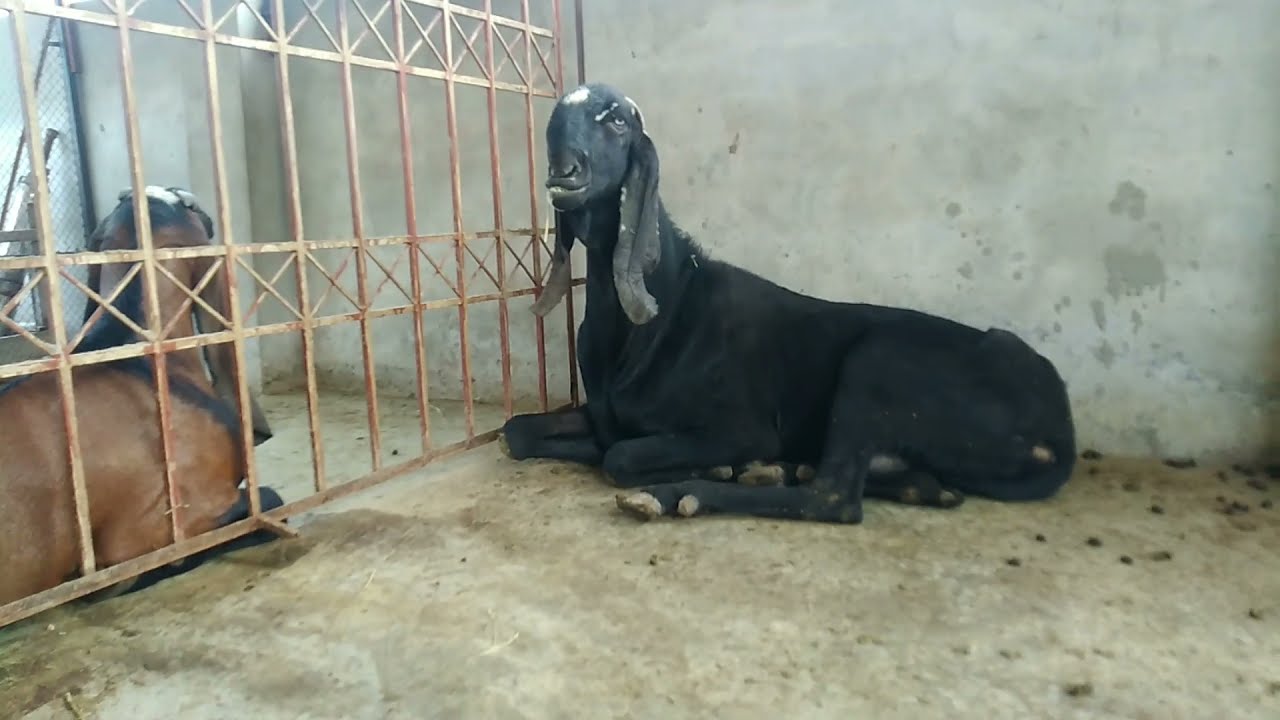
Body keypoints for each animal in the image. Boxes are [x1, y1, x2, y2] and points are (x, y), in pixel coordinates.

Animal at [500, 83, 1077, 524]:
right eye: (554, 118)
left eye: (617, 120)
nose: (564, 173)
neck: (664, 312)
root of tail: (1060, 432)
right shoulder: (600, 414)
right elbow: (519, 432)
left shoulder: (741, 426)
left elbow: (618, 455)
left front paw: (713, 469)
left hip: (880, 360)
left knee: (834, 498)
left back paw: (689, 491)